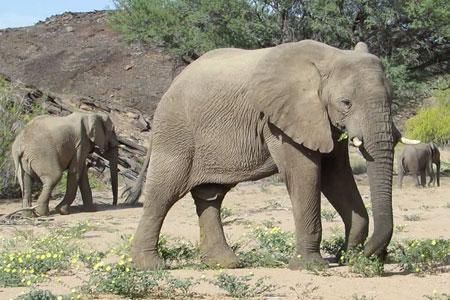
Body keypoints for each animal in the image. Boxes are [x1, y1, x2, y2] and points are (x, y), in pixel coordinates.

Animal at [130, 38, 418, 270]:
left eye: (391, 98)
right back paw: (150, 267)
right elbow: (306, 174)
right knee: (163, 193)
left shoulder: (321, 121)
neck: (328, 58)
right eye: (345, 103)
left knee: (210, 195)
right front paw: (311, 266)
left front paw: (349, 256)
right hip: (176, 132)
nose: (371, 256)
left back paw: (225, 264)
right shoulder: (281, 122)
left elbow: (336, 175)